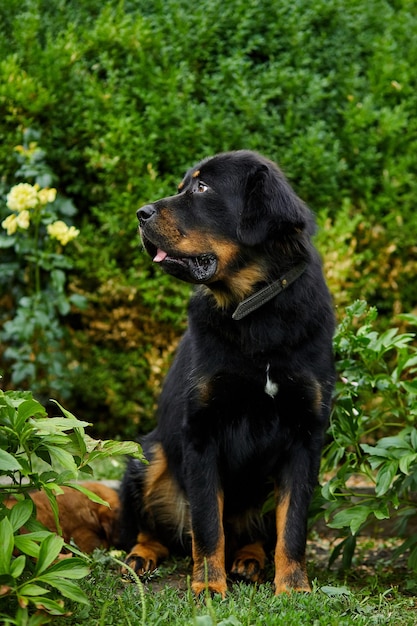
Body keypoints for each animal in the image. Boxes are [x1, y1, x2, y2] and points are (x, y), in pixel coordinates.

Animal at [118, 149, 334, 592]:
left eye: (202, 187)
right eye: (183, 186)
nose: (140, 213)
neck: (255, 312)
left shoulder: (306, 433)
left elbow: (293, 525)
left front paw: (293, 588)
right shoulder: (202, 429)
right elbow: (207, 524)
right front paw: (207, 586)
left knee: (256, 534)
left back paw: (249, 559)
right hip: (147, 456)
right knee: (153, 528)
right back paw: (142, 556)